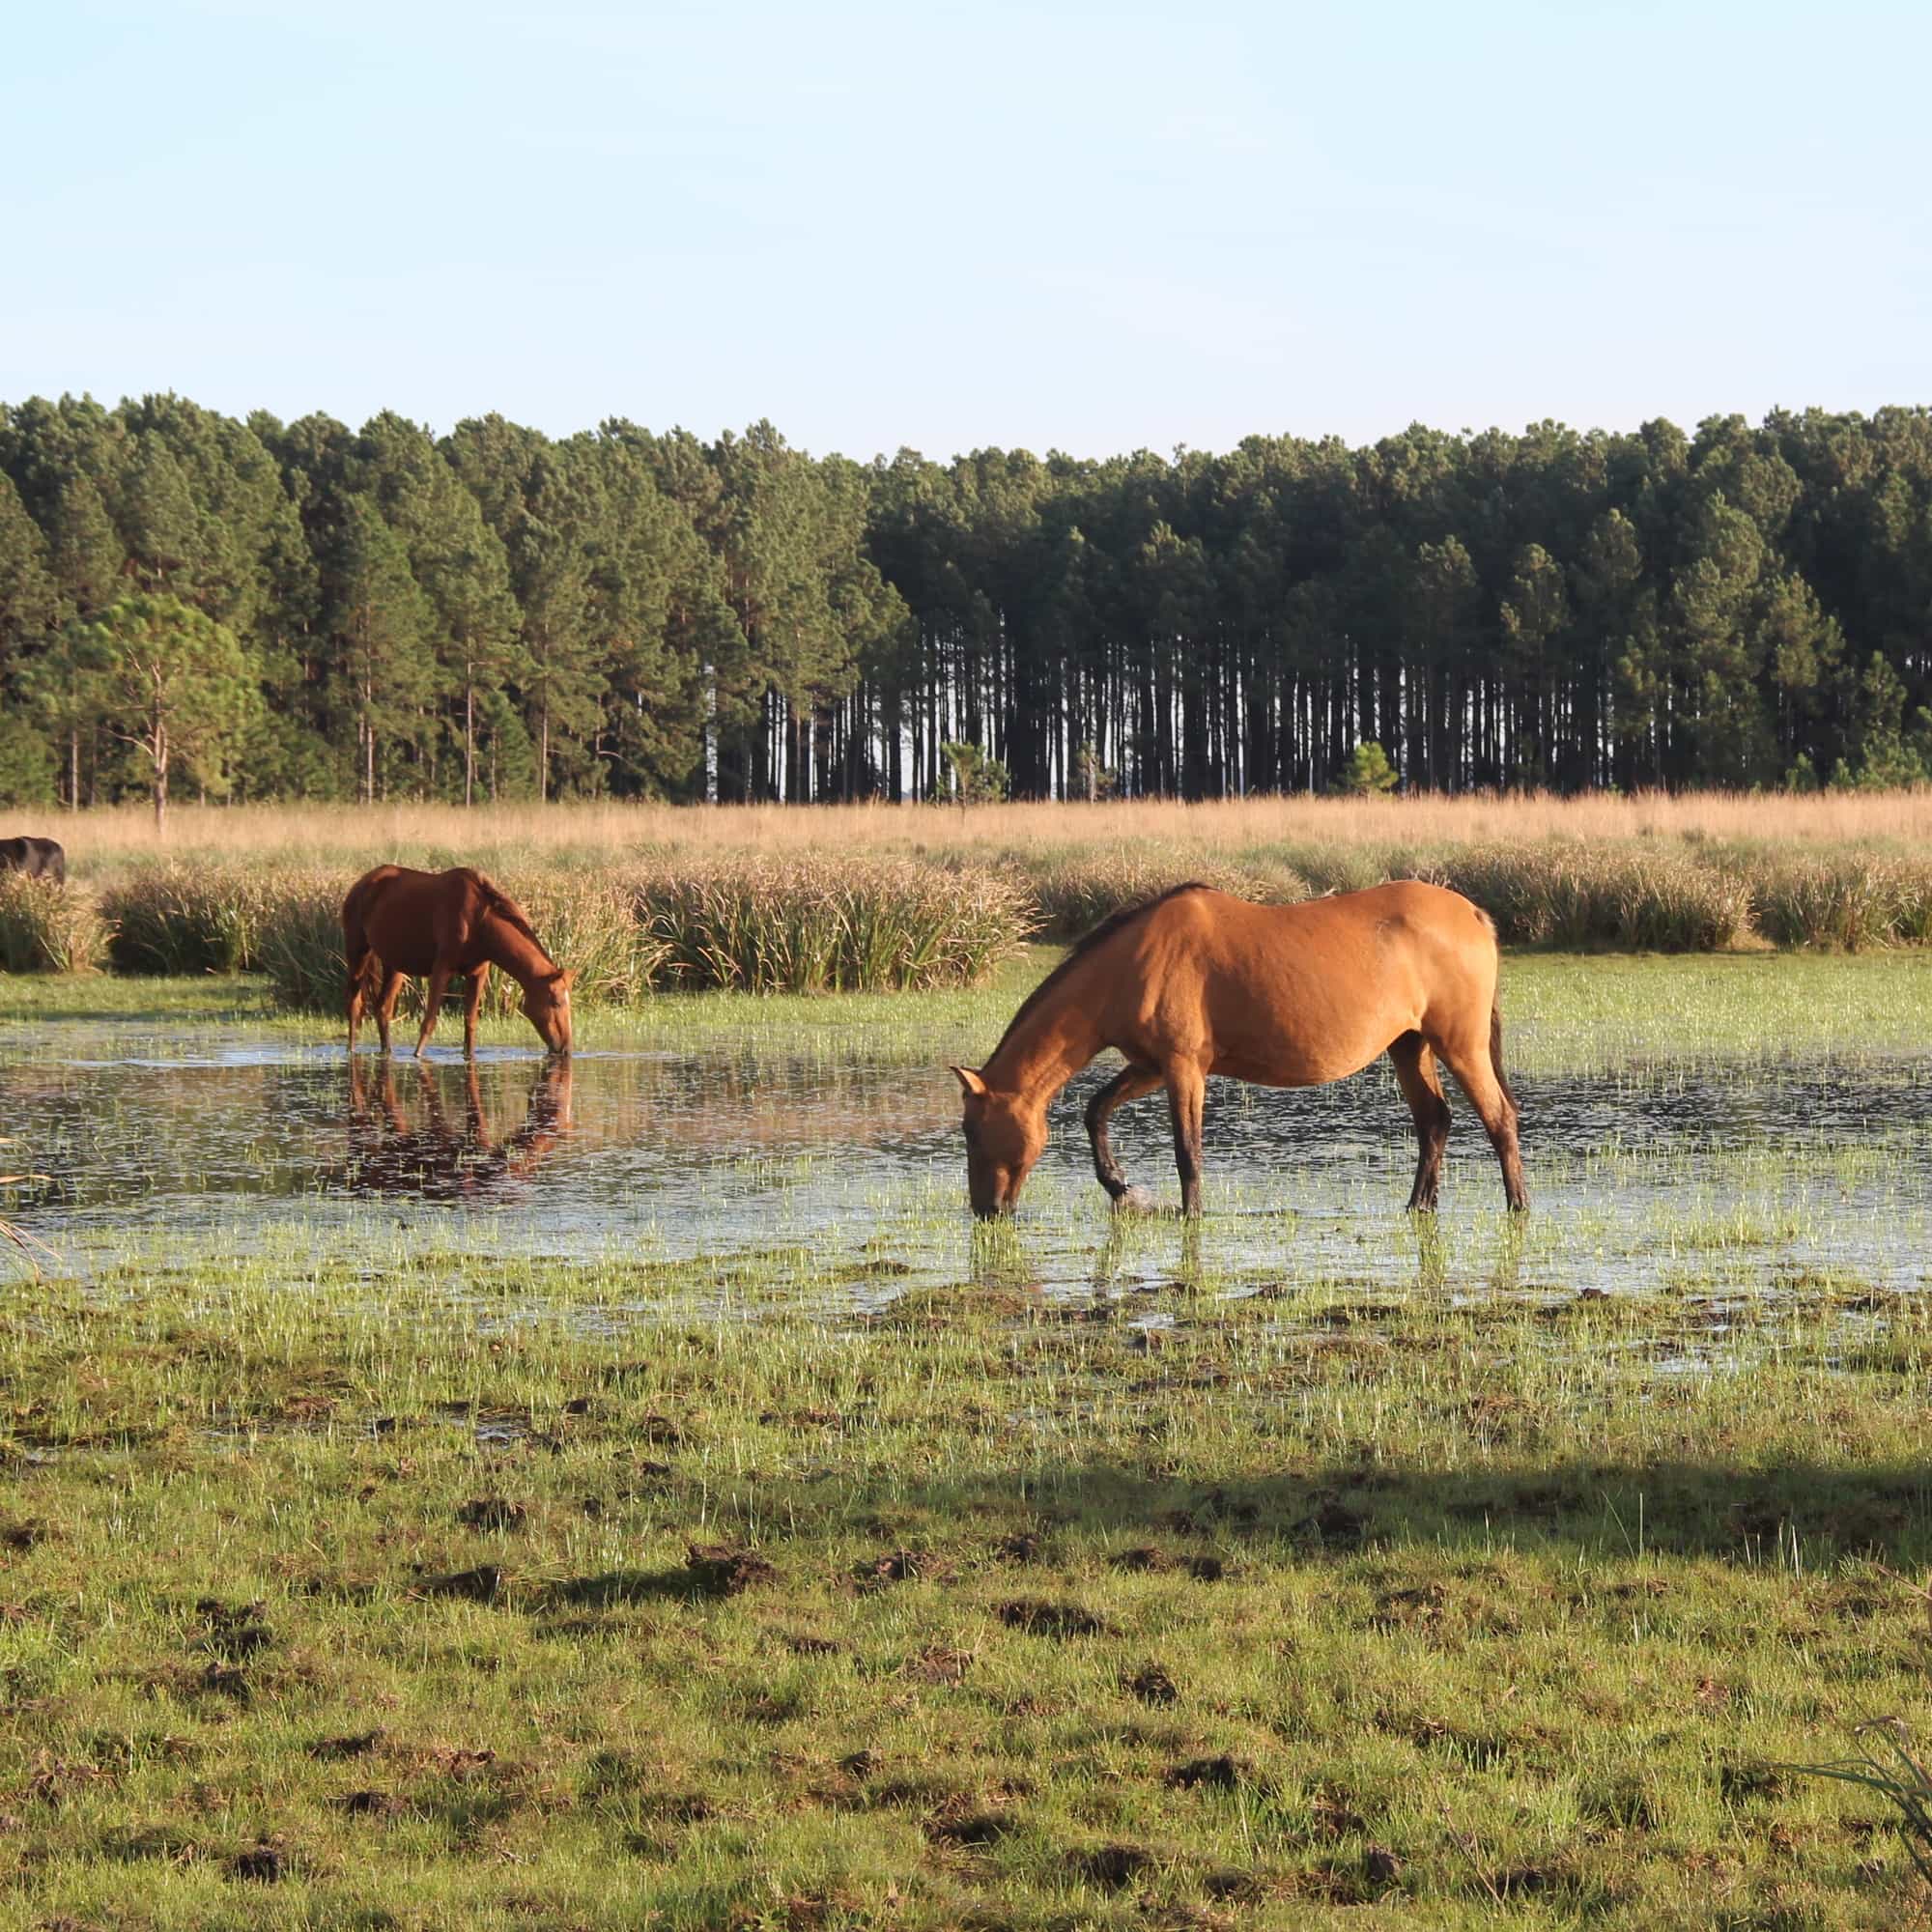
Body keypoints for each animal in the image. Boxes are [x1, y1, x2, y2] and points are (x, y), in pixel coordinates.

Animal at [342, 865, 574, 1058]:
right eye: (556, 1002)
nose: (565, 1048)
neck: (478, 921)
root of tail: (361, 884)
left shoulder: (478, 973)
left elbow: (470, 1022)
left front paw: (468, 1056)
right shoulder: (441, 969)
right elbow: (429, 1021)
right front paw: (417, 1056)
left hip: (395, 966)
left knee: (383, 1009)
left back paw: (387, 1051)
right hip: (357, 955)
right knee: (354, 1006)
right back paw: (351, 1051)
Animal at [949, 880, 1527, 1219]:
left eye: (972, 1131)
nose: (986, 1211)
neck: (1133, 962)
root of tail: (1473, 914)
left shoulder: (1183, 1068)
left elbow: (1187, 1152)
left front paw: (1190, 1214)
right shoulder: (1150, 1065)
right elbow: (1095, 1110)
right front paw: (1121, 1189)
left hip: (1460, 1045)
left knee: (1499, 1119)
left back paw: (1517, 1205)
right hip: (1409, 1046)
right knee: (1434, 1121)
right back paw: (1418, 1206)